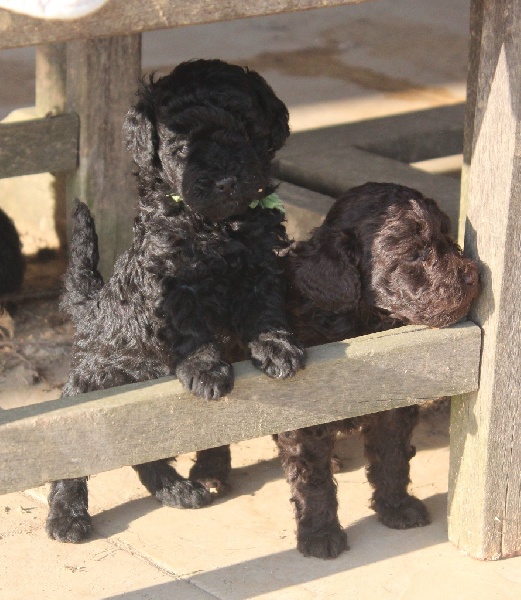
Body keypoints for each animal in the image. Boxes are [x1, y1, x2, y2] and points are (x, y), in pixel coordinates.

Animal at [46, 59, 305, 543]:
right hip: (93, 381)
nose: (225, 180)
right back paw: (66, 515)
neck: (216, 225)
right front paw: (205, 368)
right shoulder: (171, 282)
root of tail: (93, 310)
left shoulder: (261, 265)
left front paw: (278, 347)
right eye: (182, 145)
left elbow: (265, 310)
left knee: (146, 451)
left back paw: (176, 491)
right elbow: (190, 329)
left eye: (246, 131)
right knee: (74, 452)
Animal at [273, 181, 480, 558]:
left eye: (448, 236)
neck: (364, 327)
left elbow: (392, 456)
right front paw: (321, 534)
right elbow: (311, 477)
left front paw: (397, 508)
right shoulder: (304, 410)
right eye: (415, 253)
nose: (474, 275)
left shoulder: (393, 407)